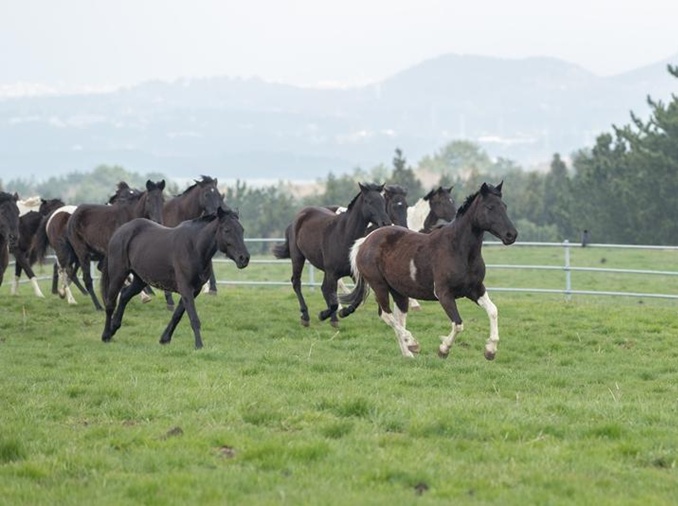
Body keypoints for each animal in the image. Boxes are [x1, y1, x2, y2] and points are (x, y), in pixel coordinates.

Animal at [66, 179, 166, 310]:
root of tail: (73, 215)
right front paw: (145, 297)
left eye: (163, 200)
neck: (131, 217)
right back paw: (98, 306)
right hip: (82, 252)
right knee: (87, 279)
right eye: (149, 199)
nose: (158, 221)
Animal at [100, 207, 250, 349]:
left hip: (140, 280)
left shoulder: (194, 290)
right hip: (118, 274)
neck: (194, 247)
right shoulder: (186, 287)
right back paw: (106, 335)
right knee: (110, 304)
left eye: (242, 230)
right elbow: (193, 317)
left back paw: (114, 328)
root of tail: (119, 232)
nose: (244, 258)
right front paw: (199, 345)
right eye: (227, 230)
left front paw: (165, 339)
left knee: (124, 296)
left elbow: (178, 314)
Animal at [273, 182, 392, 328]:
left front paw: (343, 312)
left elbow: (358, 295)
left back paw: (333, 318)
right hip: (298, 257)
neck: (344, 235)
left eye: (383, 201)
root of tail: (298, 217)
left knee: (324, 289)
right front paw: (323, 315)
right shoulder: (332, 273)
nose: (386, 223)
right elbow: (334, 301)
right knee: (297, 283)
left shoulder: (352, 274)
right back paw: (305, 316)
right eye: (369, 201)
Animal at [339, 182, 517, 359]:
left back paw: (408, 354)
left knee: (397, 317)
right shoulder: (444, 293)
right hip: (379, 286)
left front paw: (490, 350)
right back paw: (412, 343)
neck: (458, 250)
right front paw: (443, 349)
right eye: (490, 207)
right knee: (386, 315)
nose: (511, 235)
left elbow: (493, 311)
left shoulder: (475, 289)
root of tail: (364, 242)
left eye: (504, 206)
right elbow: (458, 324)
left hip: (398, 291)